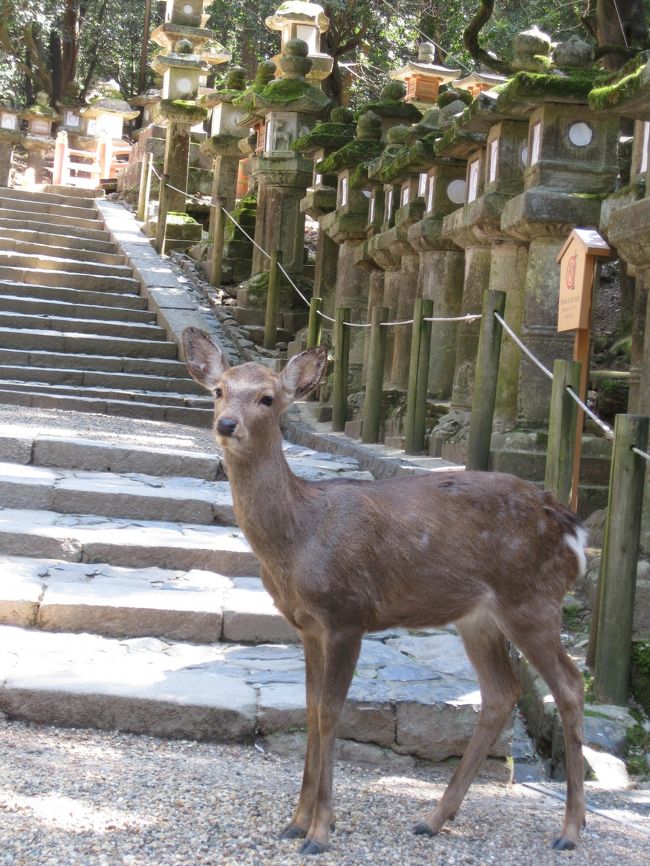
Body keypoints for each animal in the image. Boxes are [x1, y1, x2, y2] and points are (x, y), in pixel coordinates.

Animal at [182, 326, 588, 856]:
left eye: (268, 398)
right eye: (218, 390)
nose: (227, 424)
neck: (298, 539)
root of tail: (572, 530)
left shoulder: (347, 614)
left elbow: (331, 712)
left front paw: (319, 832)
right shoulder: (307, 626)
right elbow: (309, 709)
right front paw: (294, 822)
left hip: (532, 599)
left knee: (570, 686)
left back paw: (570, 831)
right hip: (478, 617)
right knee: (502, 692)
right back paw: (433, 819)